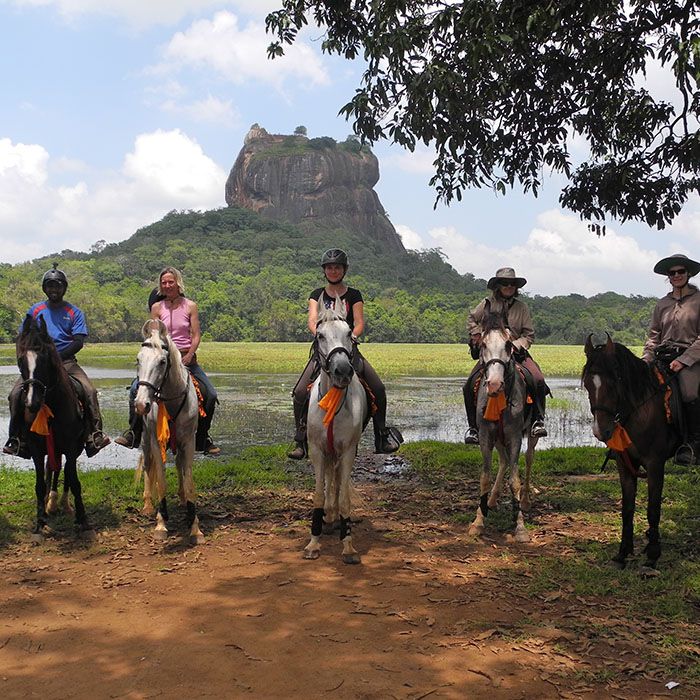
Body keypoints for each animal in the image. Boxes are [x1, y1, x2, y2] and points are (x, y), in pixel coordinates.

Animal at [15, 314, 91, 540]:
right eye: (20, 360)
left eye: (45, 360)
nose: (32, 402)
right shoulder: (36, 448)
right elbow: (40, 483)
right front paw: (41, 523)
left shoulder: (72, 446)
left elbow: (73, 479)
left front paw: (82, 519)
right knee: (53, 470)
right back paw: (51, 503)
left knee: (64, 472)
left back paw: (63, 504)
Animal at [133, 320, 202, 544]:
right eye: (138, 360)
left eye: (162, 361)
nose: (141, 405)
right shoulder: (156, 442)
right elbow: (161, 481)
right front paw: (161, 523)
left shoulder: (188, 441)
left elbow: (188, 480)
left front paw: (194, 526)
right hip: (145, 441)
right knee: (147, 466)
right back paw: (148, 505)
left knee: (179, 465)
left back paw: (181, 499)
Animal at [468, 310, 540, 540]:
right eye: (482, 344)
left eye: (509, 344)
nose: (494, 384)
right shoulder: (485, 436)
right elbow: (485, 477)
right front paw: (478, 521)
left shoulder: (514, 436)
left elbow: (515, 480)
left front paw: (520, 527)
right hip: (498, 439)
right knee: (503, 461)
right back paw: (491, 500)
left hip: (531, 436)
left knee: (528, 460)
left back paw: (524, 501)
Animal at [584, 334, 680, 568]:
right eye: (588, 384)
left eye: (615, 381)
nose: (601, 431)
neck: (640, 410)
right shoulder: (624, 464)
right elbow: (627, 508)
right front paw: (623, 552)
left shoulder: (655, 464)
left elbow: (653, 509)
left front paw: (653, 554)